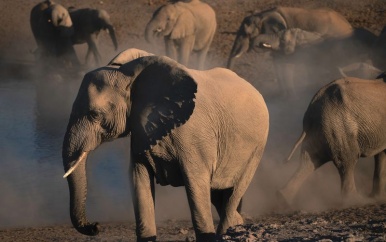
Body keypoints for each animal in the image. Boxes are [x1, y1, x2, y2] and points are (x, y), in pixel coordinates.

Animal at [62, 48, 268, 241]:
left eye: (94, 114)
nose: (95, 226)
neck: (130, 75)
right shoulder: (141, 131)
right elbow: (139, 181)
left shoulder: (195, 139)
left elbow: (196, 186)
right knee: (221, 197)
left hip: (256, 150)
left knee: (232, 197)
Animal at [276, 76, 386, 207]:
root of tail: (312, 106)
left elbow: (381, 154)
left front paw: (380, 197)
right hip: (338, 125)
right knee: (348, 160)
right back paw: (358, 201)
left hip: (322, 128)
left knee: (309, 160)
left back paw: (283, 199)